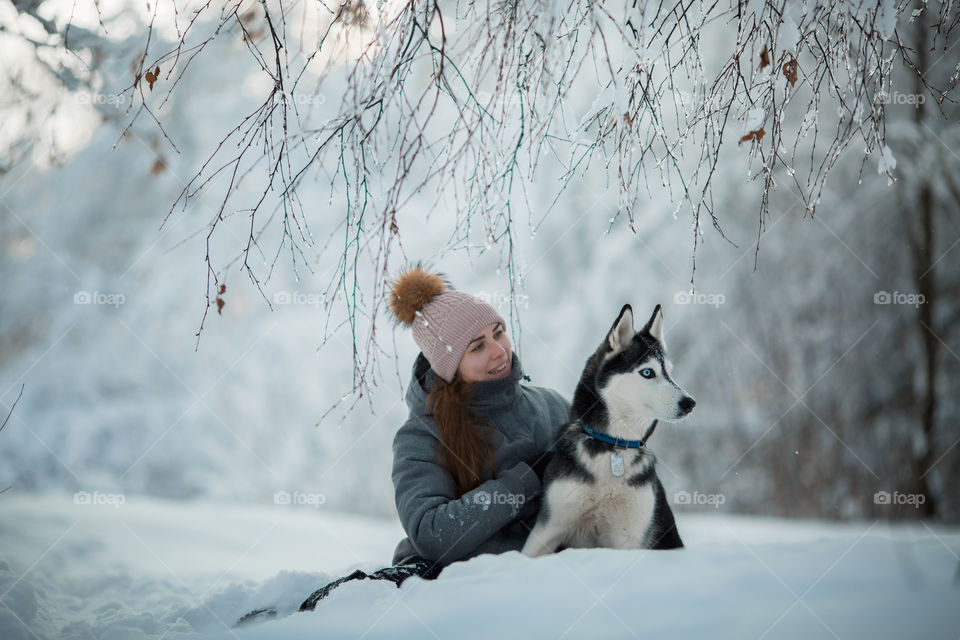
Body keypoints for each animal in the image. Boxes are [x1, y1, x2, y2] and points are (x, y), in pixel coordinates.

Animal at [520, 304, 692, 556]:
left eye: (669, 372)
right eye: (647, 372)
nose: (690, 403)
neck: (613, 446)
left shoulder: (629, 537)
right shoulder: (548, 528)